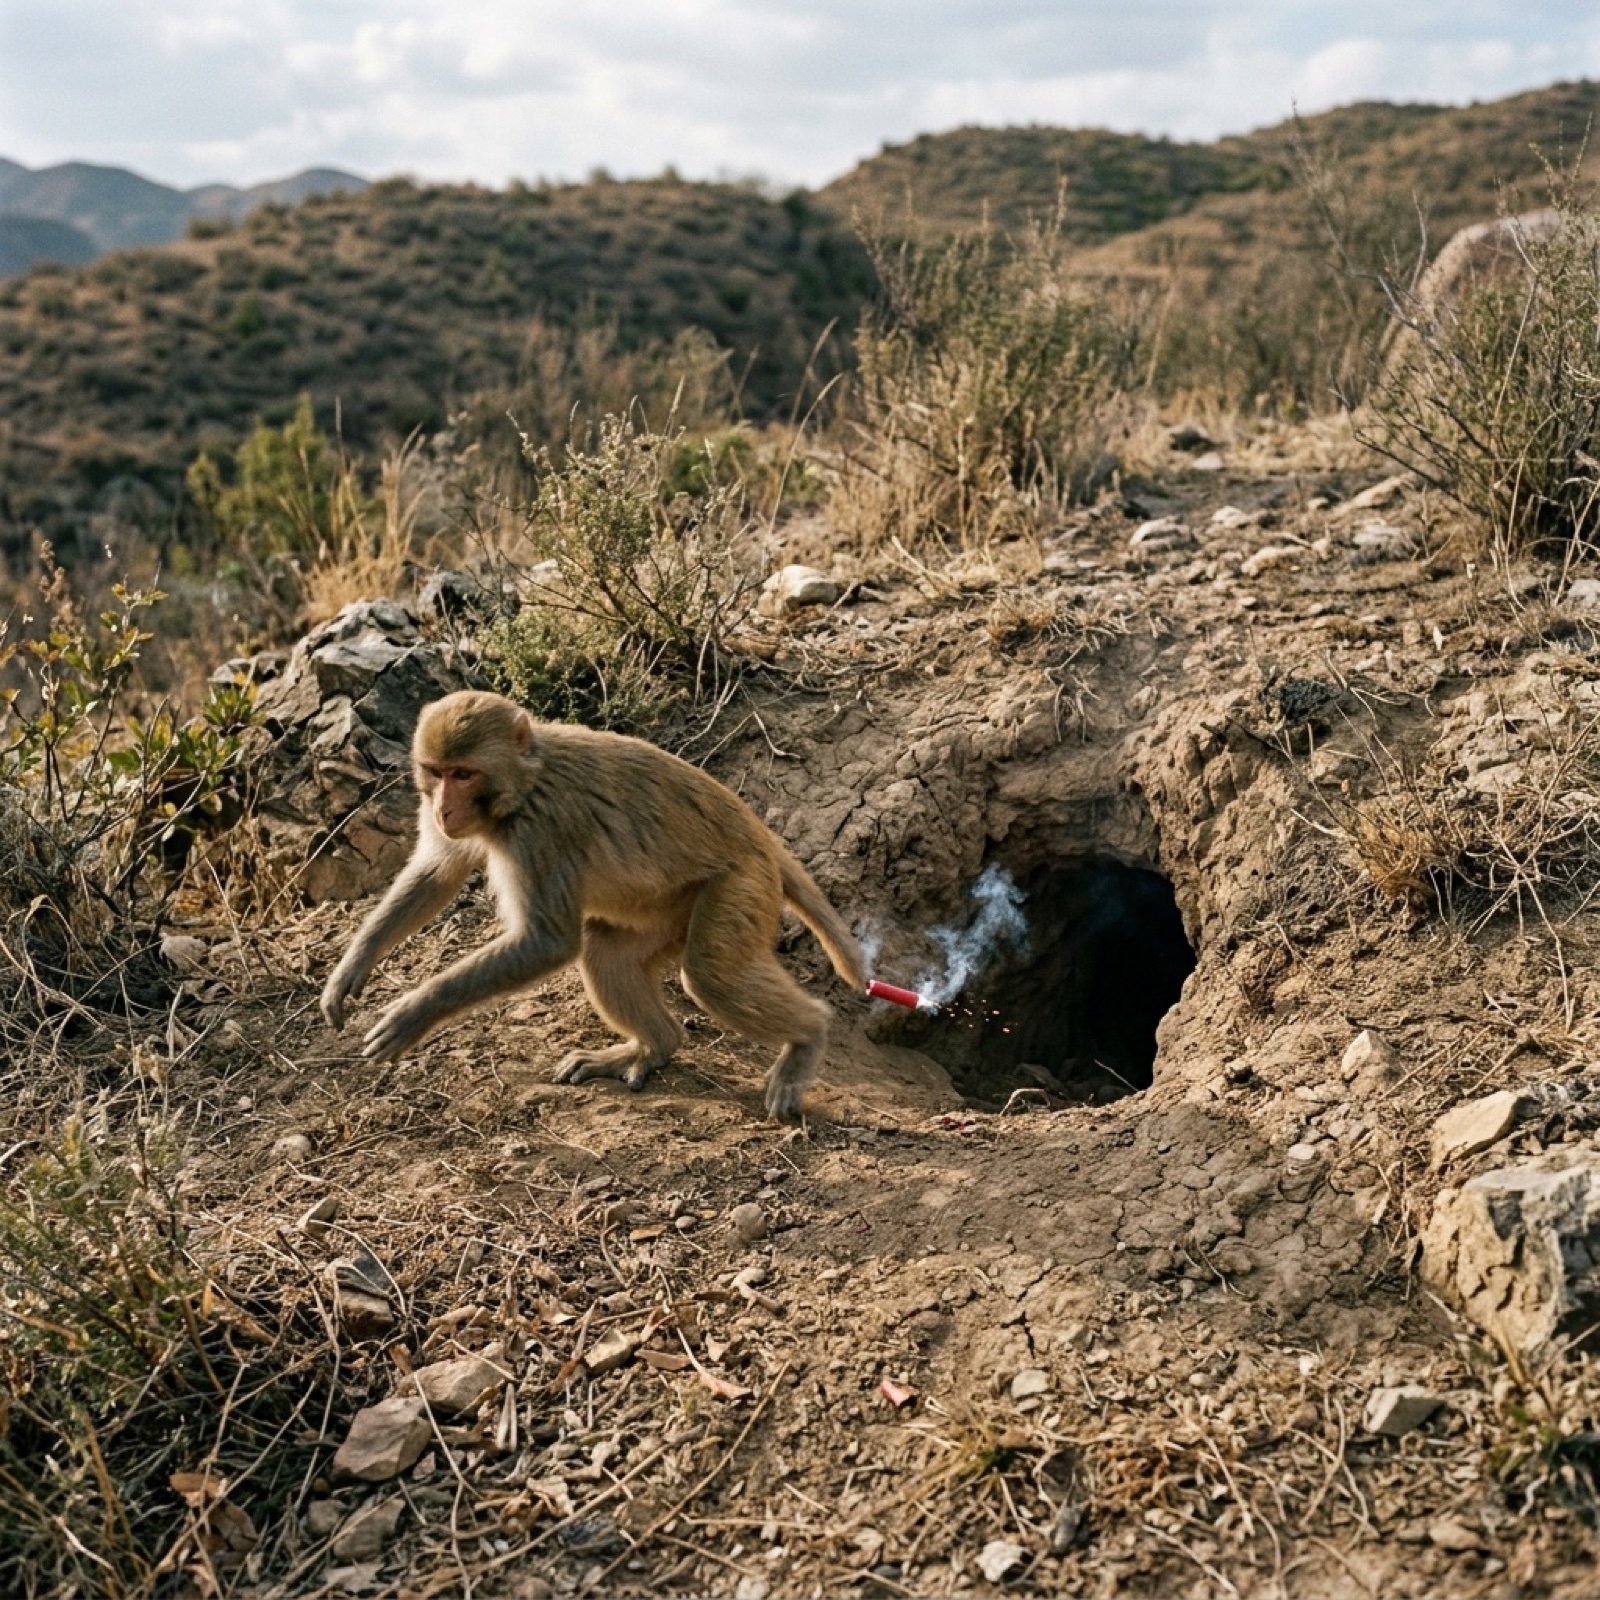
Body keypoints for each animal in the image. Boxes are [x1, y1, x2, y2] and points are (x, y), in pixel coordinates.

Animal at [320, 689, 865, 1120]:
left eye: (464, 773)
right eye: (436, 773)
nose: (442, 809)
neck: (523, 784)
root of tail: (759, 836)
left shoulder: (540, 834)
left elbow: (547, 942)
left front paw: (416, 1012)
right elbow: (437, 873)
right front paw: (351, 967)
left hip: (740, 883)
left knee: (710, 977)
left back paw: (807, 1039)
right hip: (664, 909)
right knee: (606, 950)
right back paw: (653, 1046)